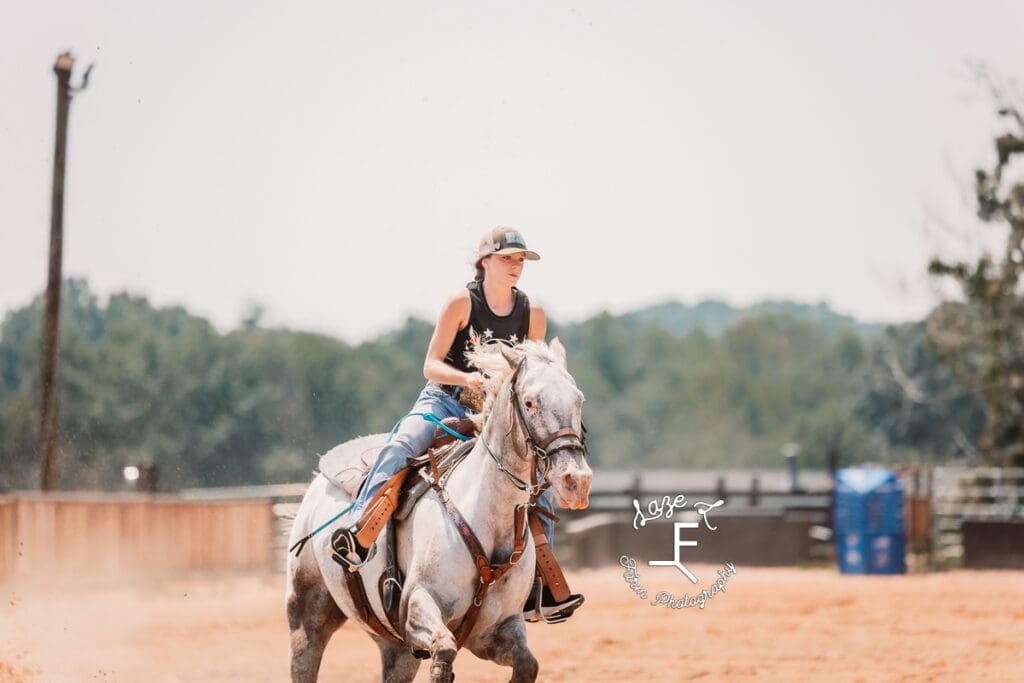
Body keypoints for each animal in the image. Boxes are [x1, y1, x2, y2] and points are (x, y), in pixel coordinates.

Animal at [288, 339, 593, 679]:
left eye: (579, 400)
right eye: (529, 403)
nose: (577, 480)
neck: (488, 517)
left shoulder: (495, 630)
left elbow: (527, 663)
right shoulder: (417, 604)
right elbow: (444, 651)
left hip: (396, 648)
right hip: (308, 609)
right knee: (305, 657)